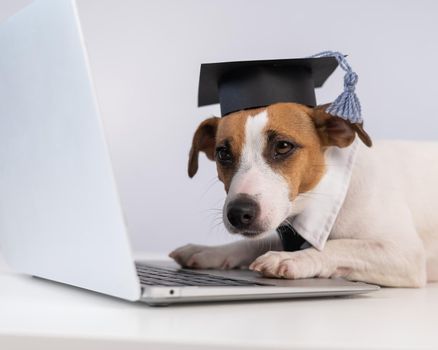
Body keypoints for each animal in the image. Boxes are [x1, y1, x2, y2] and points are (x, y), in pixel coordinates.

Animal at [169, 102, 436, 288]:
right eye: (223, 153)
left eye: (283, 146)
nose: (238, 213)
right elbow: (254, 242)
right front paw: (208, 251)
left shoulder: (404, 253)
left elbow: (339, 245)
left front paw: (293, 259)